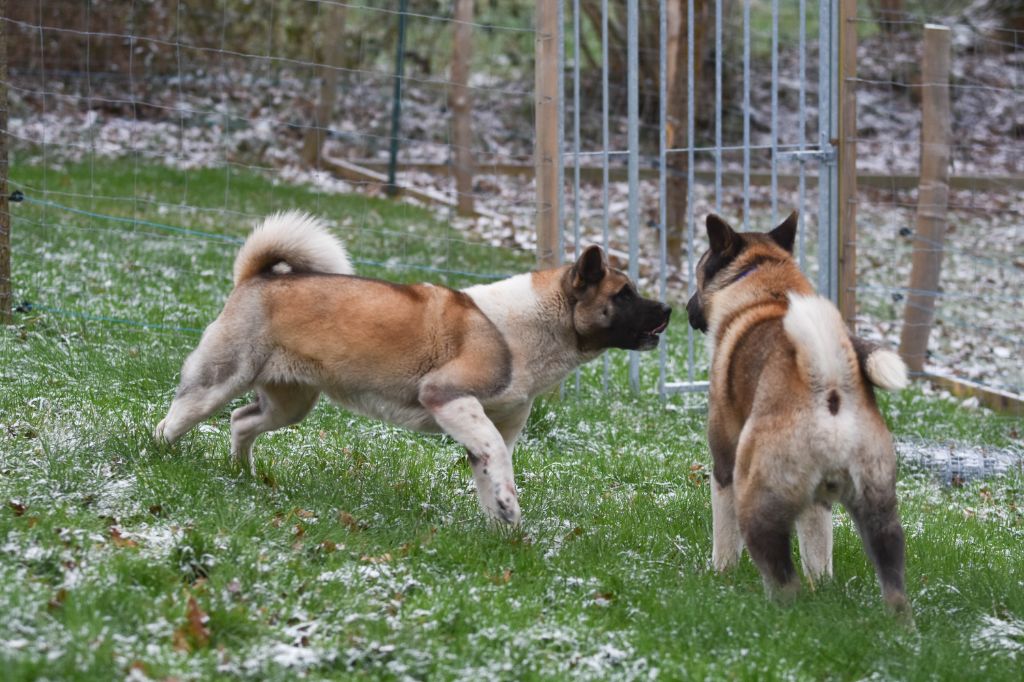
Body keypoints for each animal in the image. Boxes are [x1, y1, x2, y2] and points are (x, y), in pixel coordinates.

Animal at [155, 209, 671, 522]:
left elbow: (491, 472)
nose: (668, 309)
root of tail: (256, 277)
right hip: (220, 379)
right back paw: (159, 456)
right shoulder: (448, 398)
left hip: (289, 404)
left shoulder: (484, 429)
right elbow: (499, 458)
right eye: (624, 295)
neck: (529, 326)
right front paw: (508, 508)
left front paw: (503, 526)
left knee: (241, 422)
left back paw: (241, 473)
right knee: (176, 418)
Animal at [688, 209, 913, 614]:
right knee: (895, 591)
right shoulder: (818, 502)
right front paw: (821, 587)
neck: (766, 281)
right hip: (879, 513)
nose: (685, 309)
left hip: (757, 499)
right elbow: (818, 553)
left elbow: (724, 540)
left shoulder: (724, 467)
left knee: (782, 579)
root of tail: (829, 382)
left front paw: (720, 576)